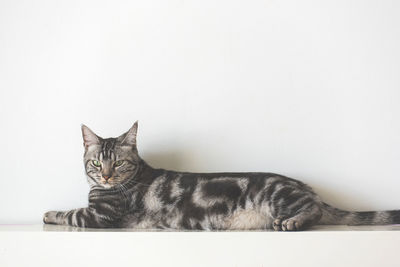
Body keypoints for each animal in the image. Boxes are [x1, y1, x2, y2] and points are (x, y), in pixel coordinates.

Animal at [43, 122, 400, 231]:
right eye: (96, 163)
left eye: (117, 164)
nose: (105, 178)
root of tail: (307, 188)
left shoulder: (100, 216)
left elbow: (68, 213)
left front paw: (48, 213)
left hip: (278, 196)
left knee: (311, 212)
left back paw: (293, 222)